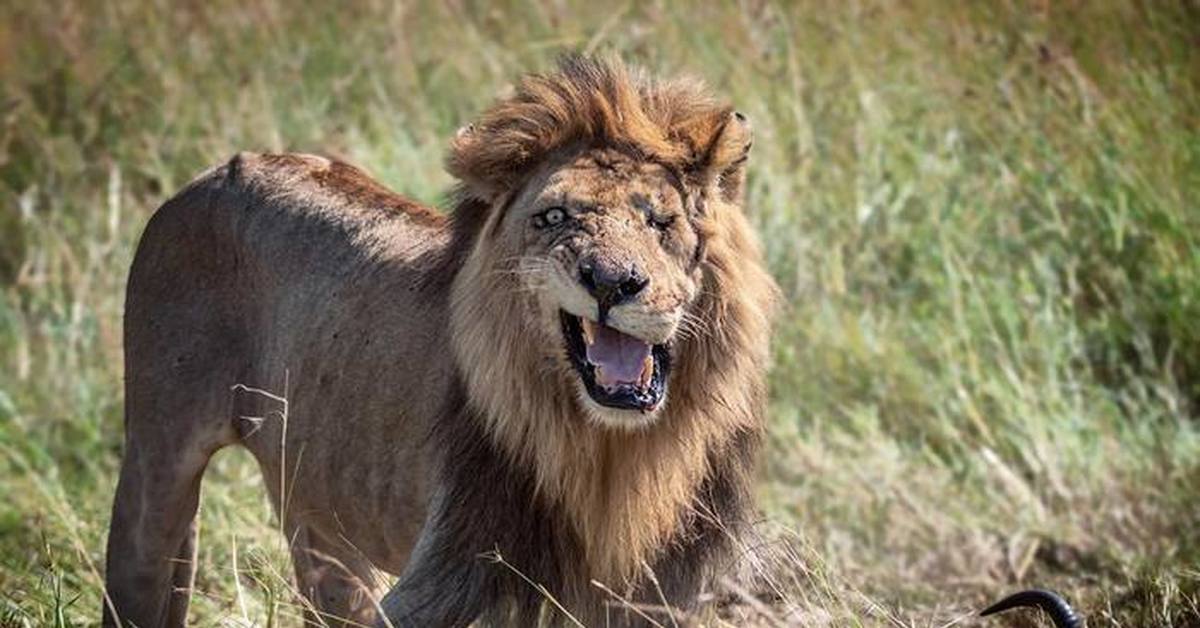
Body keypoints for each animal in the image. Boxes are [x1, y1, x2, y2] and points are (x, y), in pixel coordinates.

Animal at [103, 56, 777, 624]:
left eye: (660, 221)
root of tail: (220, 169)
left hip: (319, 509)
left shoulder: (677, 594)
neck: (618, 456)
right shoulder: (449, 583)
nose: (612, 283)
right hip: (157, 462)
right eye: (554, 217)